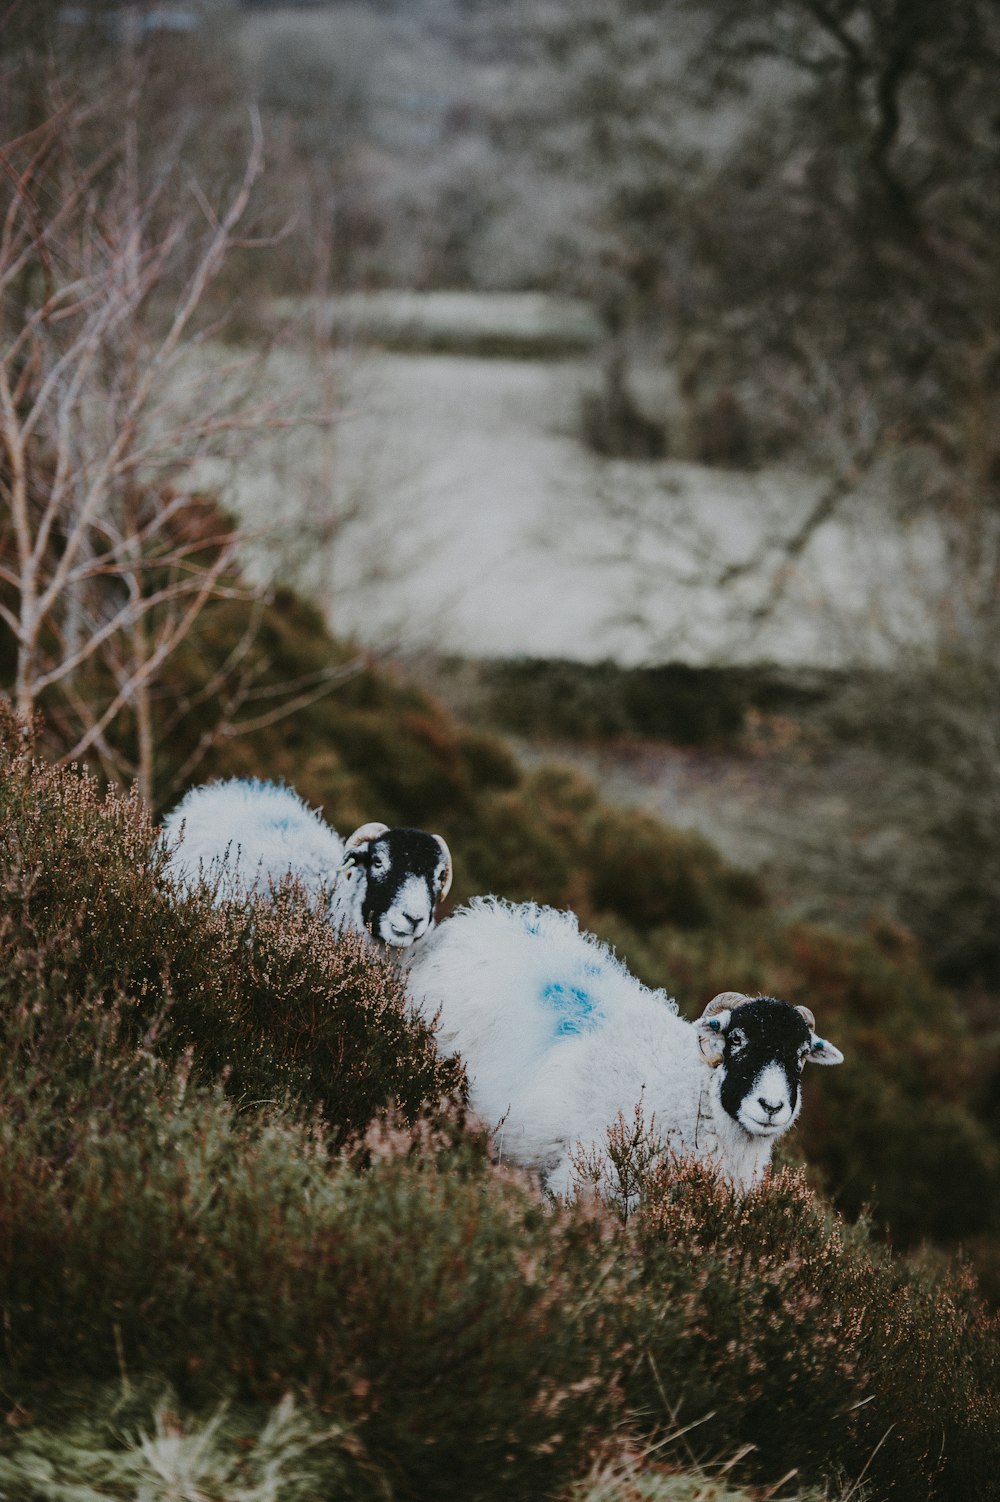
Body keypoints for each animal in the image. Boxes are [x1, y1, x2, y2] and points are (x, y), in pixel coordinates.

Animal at [405, 889, 840, 1195]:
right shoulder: (580, 1185)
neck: (686, 1095)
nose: (772, 1106)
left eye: (801, 1057)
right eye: (736, 1039)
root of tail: (478, 918)